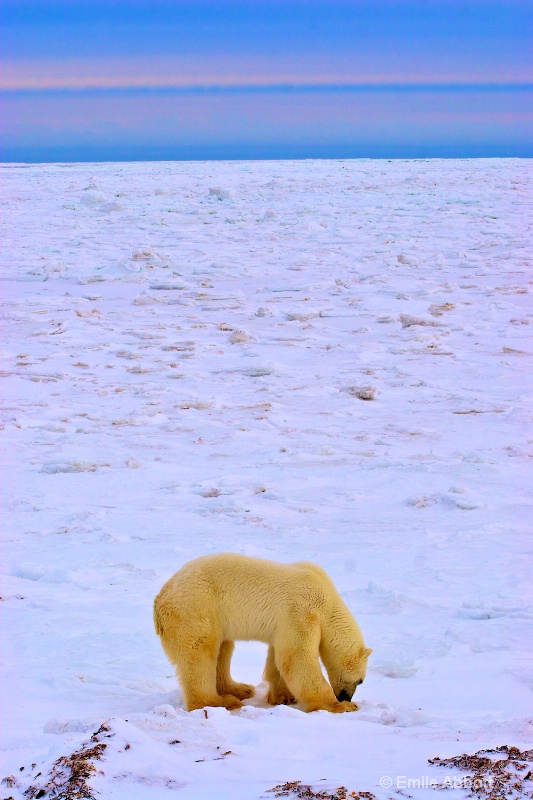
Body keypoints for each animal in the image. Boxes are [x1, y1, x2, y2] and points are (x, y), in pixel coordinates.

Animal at [154, 552, 370, 716]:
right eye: (360, 681)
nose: (345, 696)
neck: (327, 601)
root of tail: (160, 598)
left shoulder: (287, 621)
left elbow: (279, 656)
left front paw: (284, 696)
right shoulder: (301, 611)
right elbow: (296, 656)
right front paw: (341, 706)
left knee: (223, 647)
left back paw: (239, 688)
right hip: (197, 608)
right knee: (200, 653)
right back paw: (221, 702)